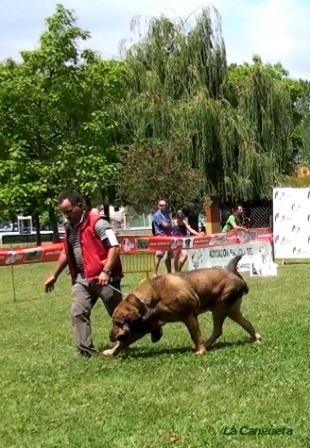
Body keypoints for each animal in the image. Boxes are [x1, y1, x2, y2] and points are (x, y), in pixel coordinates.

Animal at [104, 256, 262, 356]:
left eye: (116, 322)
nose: (110, 336)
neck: (148, 301)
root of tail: (234, 273)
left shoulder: (189, 316)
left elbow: (195, 335)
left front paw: (200, 350)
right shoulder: (144, 327)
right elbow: (123, 343)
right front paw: (111, 352)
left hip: (220, 308)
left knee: (218, 330)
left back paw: (207, 345)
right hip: (231, 310)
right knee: (247, 324)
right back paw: (256, 338)